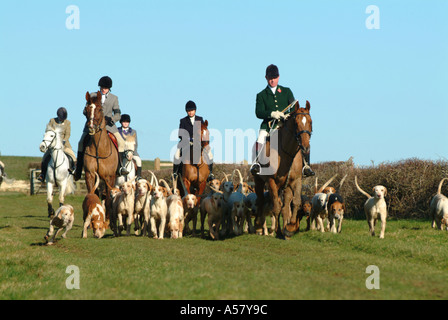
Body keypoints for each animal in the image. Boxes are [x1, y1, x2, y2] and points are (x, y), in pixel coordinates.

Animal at [254, 100, 314, 238]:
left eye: (311, 122)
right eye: (296, 123)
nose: (305, 147)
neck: (286, 153)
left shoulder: (296, 180)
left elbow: (295, 202)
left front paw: (290, 228)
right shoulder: (271, 181)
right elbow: (276, 207)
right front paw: (278, 231)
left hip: (285, 187)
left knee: (286, 206)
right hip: (259, 182)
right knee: (261, 200)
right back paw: (259, 226)